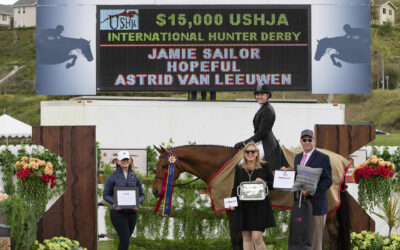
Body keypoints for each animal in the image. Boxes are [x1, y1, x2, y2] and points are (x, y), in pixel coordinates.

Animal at [152, 145, 352, 250]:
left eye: (165, 166)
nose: (155, 192)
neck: (221, 165)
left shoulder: (233, 209)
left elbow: (236, 238)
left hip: (327, 206)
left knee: (333, 231)